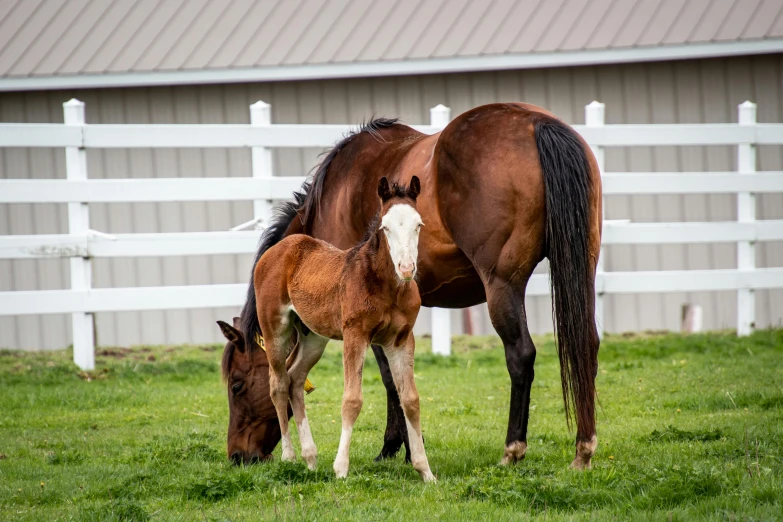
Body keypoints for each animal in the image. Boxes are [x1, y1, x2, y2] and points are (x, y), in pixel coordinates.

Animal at [254, 176, 434, 480]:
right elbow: (352, 400)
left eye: (418, 225)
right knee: (277, 384)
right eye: (385, 227)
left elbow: (410, 399)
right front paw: (341, 469)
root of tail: (275, 252)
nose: (407, 268)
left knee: (295, 379)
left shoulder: (400, 340)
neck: (386, 286)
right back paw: (290, 457)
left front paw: (425, 471)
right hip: (275, 328)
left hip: (313, 337)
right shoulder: (355, 335)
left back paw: (311, 458)